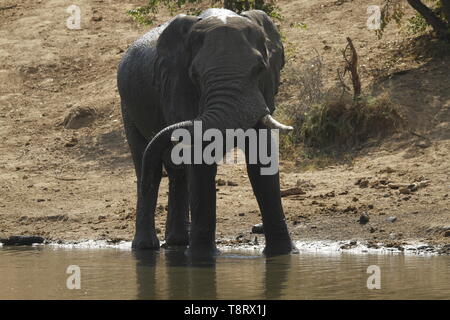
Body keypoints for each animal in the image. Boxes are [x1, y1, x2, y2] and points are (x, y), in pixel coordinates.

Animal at [118, 7, 298, 256]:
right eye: (195, 75)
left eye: (260, 69)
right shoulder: (179, 87)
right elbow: (200, 160)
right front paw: (203, 258)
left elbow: (262, 159)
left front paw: (284, 254)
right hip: (128, 107)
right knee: (145, 163)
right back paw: (146, 247)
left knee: (175, 172)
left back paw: (177, 242)